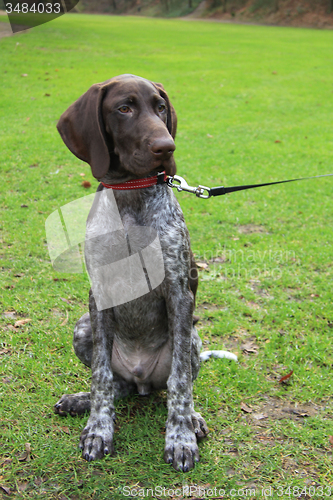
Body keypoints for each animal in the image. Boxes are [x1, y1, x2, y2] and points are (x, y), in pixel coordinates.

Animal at [54, 72, 215, 470]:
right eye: (124, 108)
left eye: (160, 107)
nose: (166, 146)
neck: (130, 194)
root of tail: (142, 378)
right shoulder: (99, 296)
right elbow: (100, 377)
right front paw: (98, 430)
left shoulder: (178, 292)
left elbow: (181, 382)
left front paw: (180, 438)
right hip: (83, 326)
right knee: (117, 384)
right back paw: (81, 400)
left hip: (191, 337)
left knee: (174, 382)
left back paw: (192, 418)